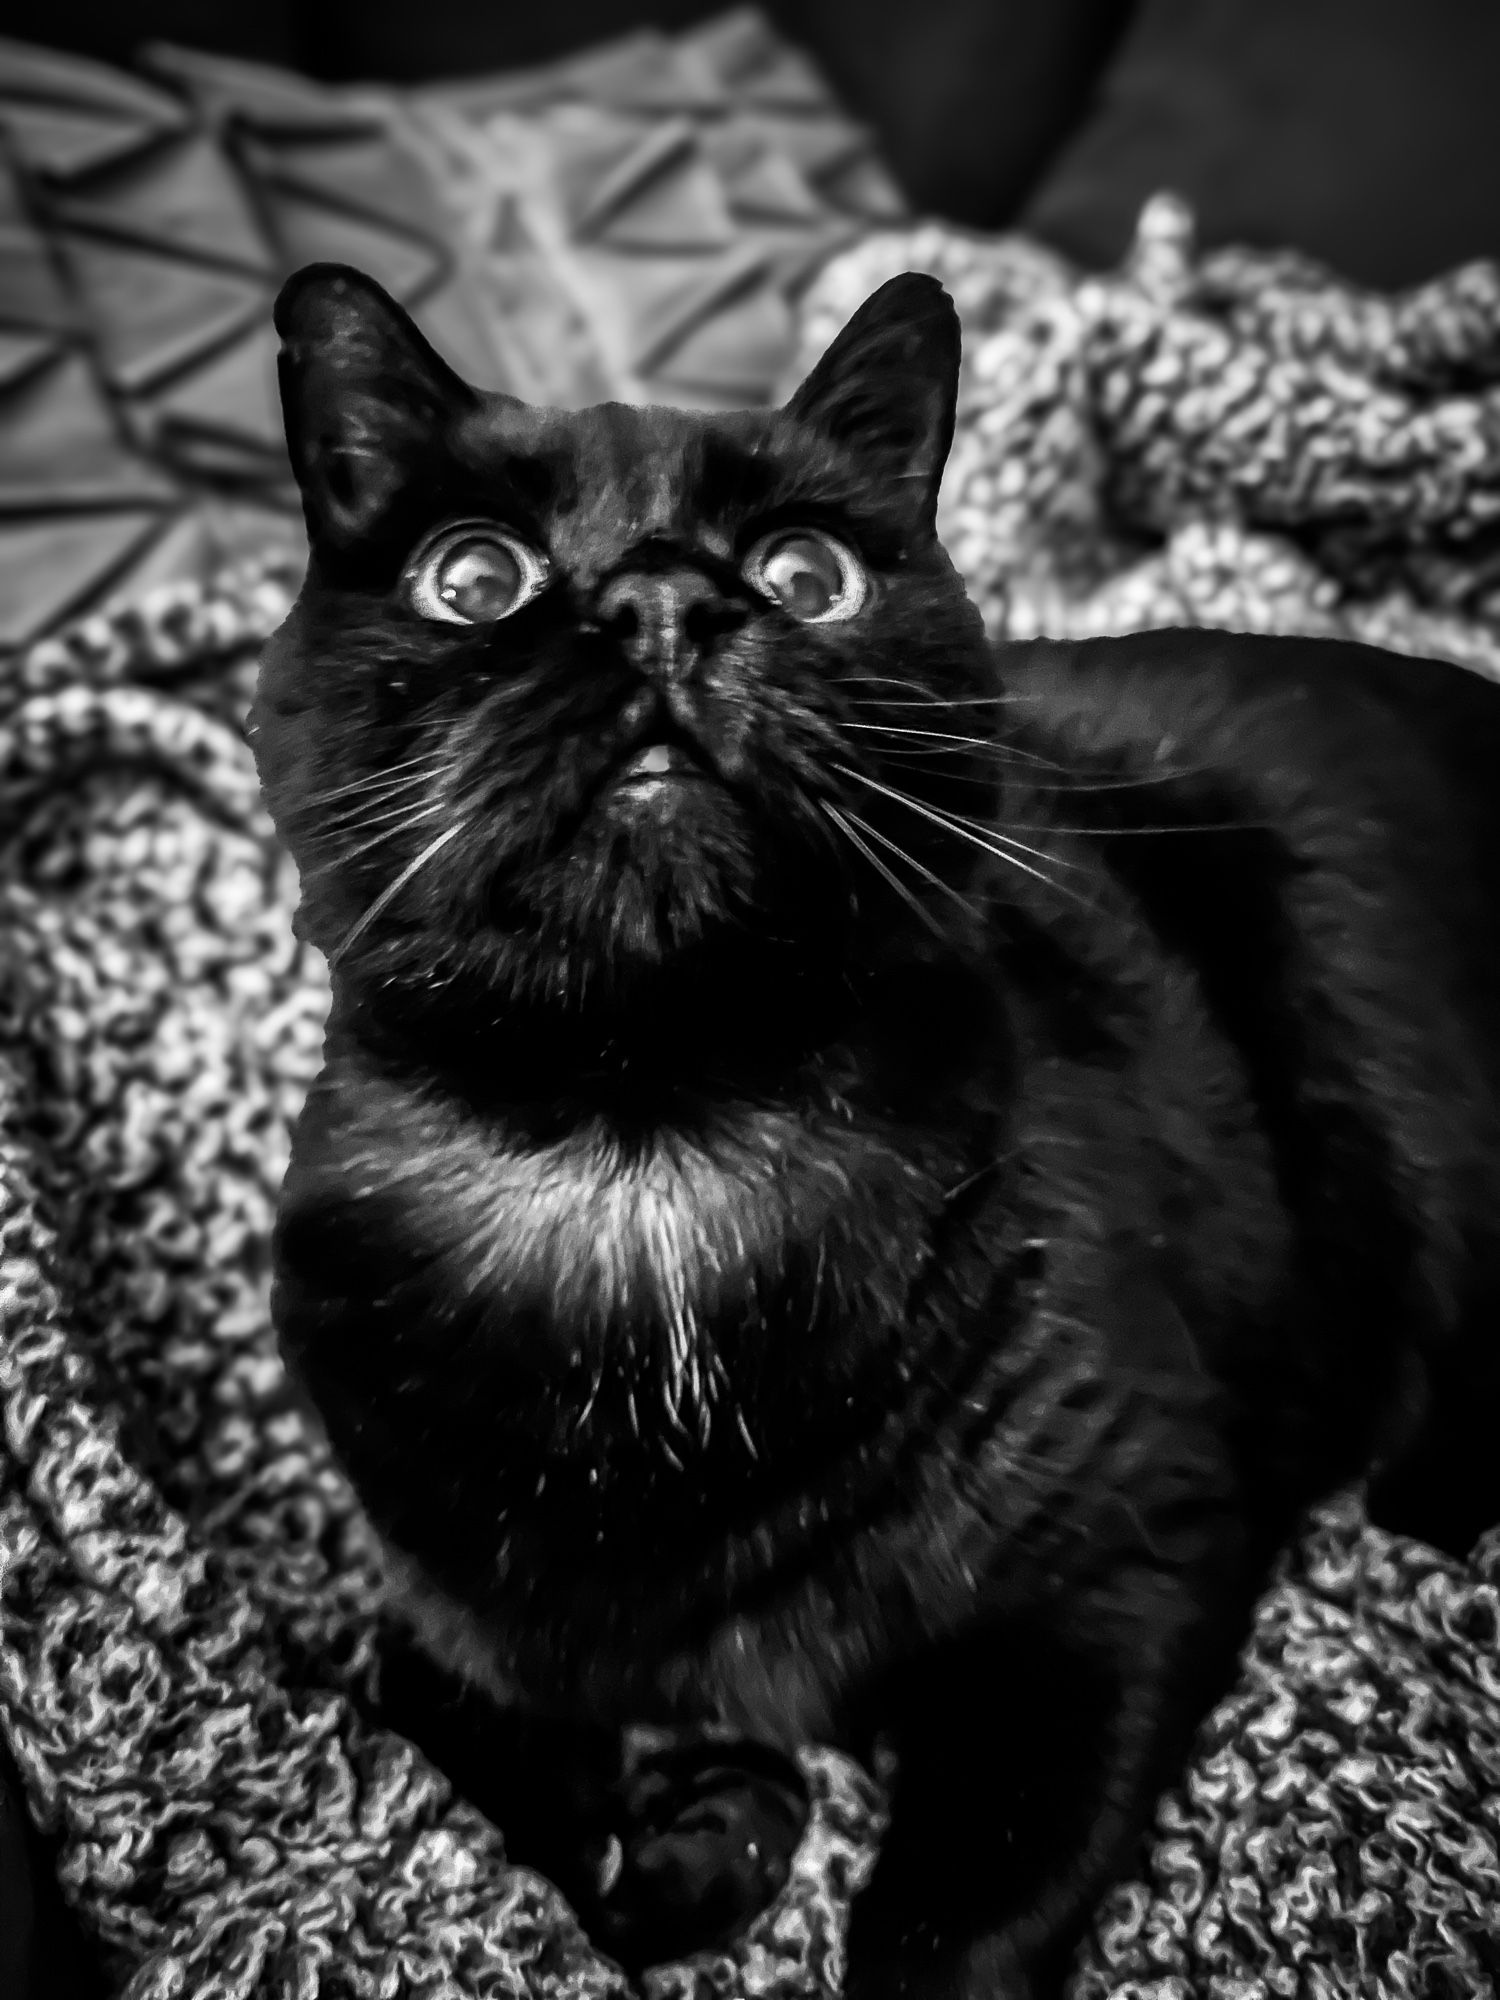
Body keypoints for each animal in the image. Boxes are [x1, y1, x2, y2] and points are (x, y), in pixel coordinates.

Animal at [253, 266, 1500, 2000]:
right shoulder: (430, 1593)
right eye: (475, 576)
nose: (661, 602)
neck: (652, 1154)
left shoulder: (1131, 1561)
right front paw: (696, 1826)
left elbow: (952, 1924)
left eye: (807, 572)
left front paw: (725, 1829)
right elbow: (439, 1713)